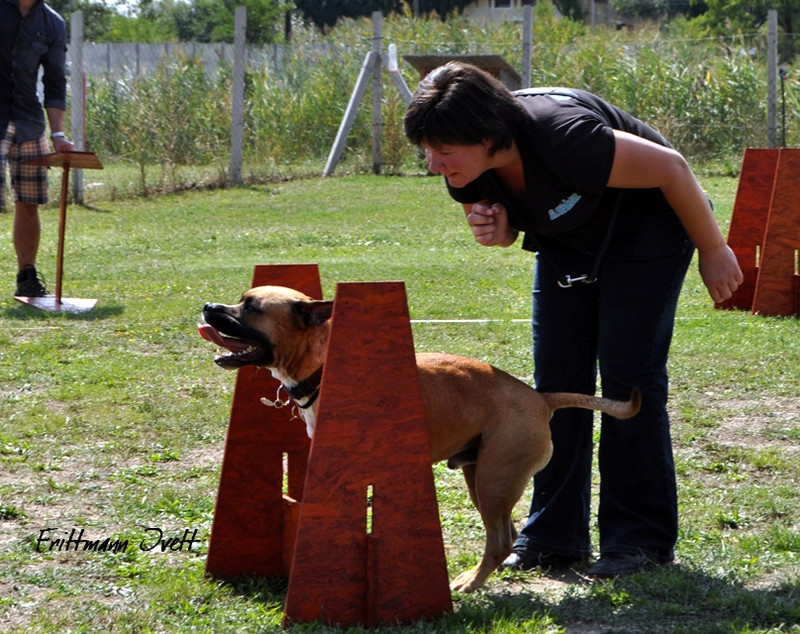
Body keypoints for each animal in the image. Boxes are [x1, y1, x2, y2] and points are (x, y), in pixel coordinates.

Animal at [203, 286, 640, 592]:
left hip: (494, 481)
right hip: (480, 477)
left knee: (500, 540)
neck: (323, 366)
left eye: (251, 307)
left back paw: (469, 583)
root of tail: (539, 397)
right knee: (506, 535)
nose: (208, 307)